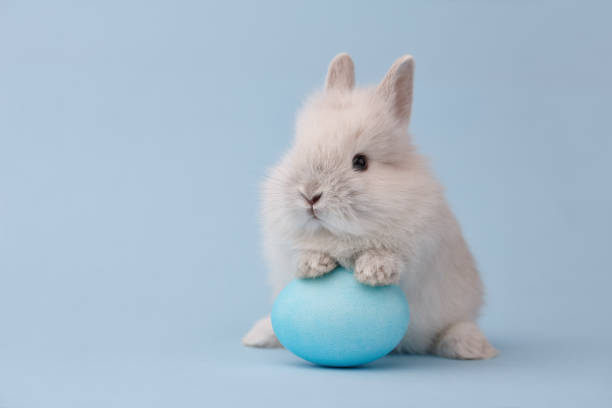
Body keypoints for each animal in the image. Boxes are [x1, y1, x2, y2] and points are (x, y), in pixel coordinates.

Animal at [240, 52, 498, 358]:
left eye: (360, 162)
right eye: (298, 148)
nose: (309, 195)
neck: (339, 235)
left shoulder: (419, 251)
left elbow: (392, 259)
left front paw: (372, 271)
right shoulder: (284, 249)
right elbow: (300, 256)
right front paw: (315, 263)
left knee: (450, 328)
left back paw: (473, 347)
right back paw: (257, 335)